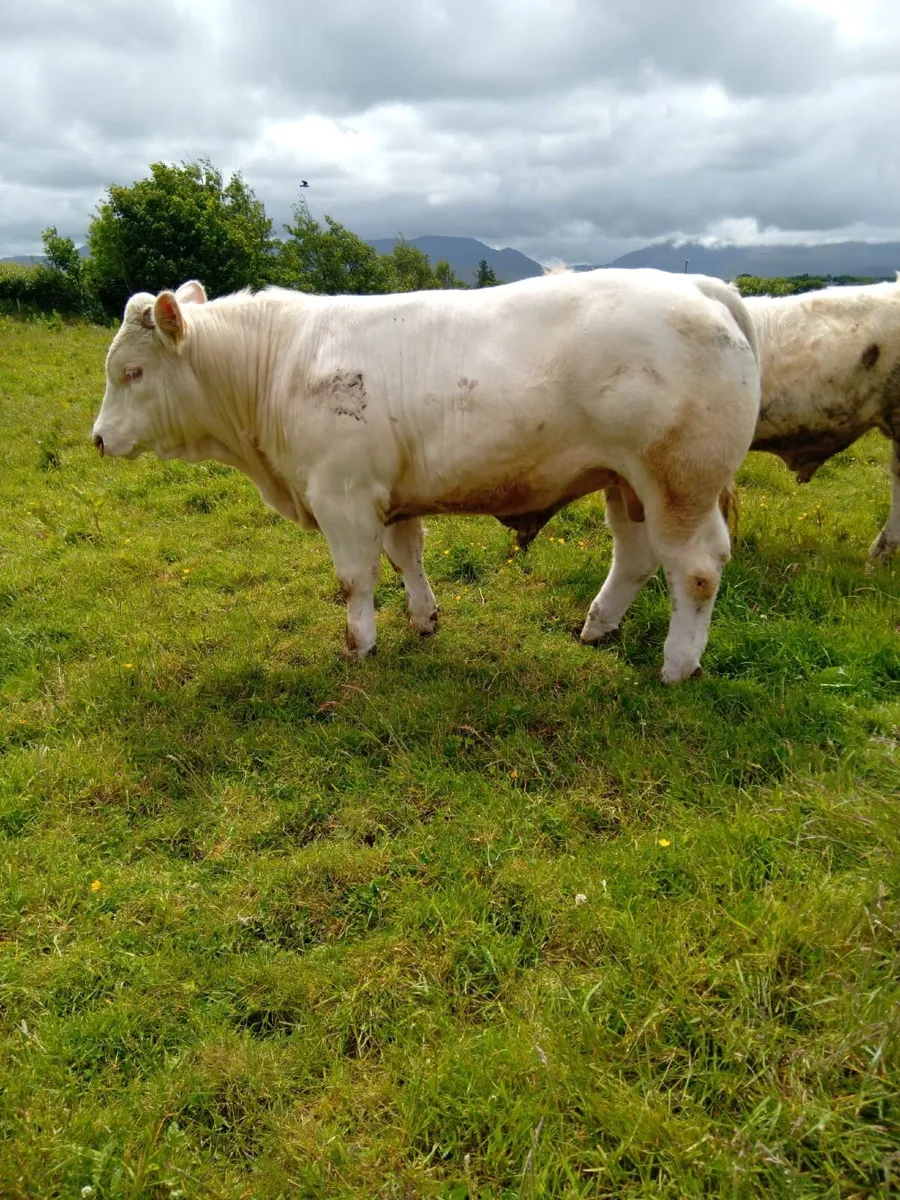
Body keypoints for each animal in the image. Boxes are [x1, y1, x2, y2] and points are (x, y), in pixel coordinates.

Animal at [91, 269, 760, 683]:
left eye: (131, 373)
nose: (97, 438)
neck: (277, 365)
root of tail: (698, 285)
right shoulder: (389, 494)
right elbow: (405, 557)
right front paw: (423, 619)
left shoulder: (342, 494)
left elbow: (354, 580)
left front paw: (360, 646)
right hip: (625, 483)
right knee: (636, 558)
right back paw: (596, 628)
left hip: (680, 482)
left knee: (696, 571)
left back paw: (677, 666)